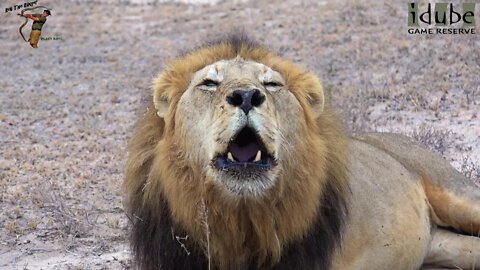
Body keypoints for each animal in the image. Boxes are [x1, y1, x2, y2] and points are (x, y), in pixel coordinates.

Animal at [124, 34, 480, 268]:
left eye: (271, 85)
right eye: (209, 83)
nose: (246, 95)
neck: (241, 218)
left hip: (457, 194)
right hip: (443, 246)